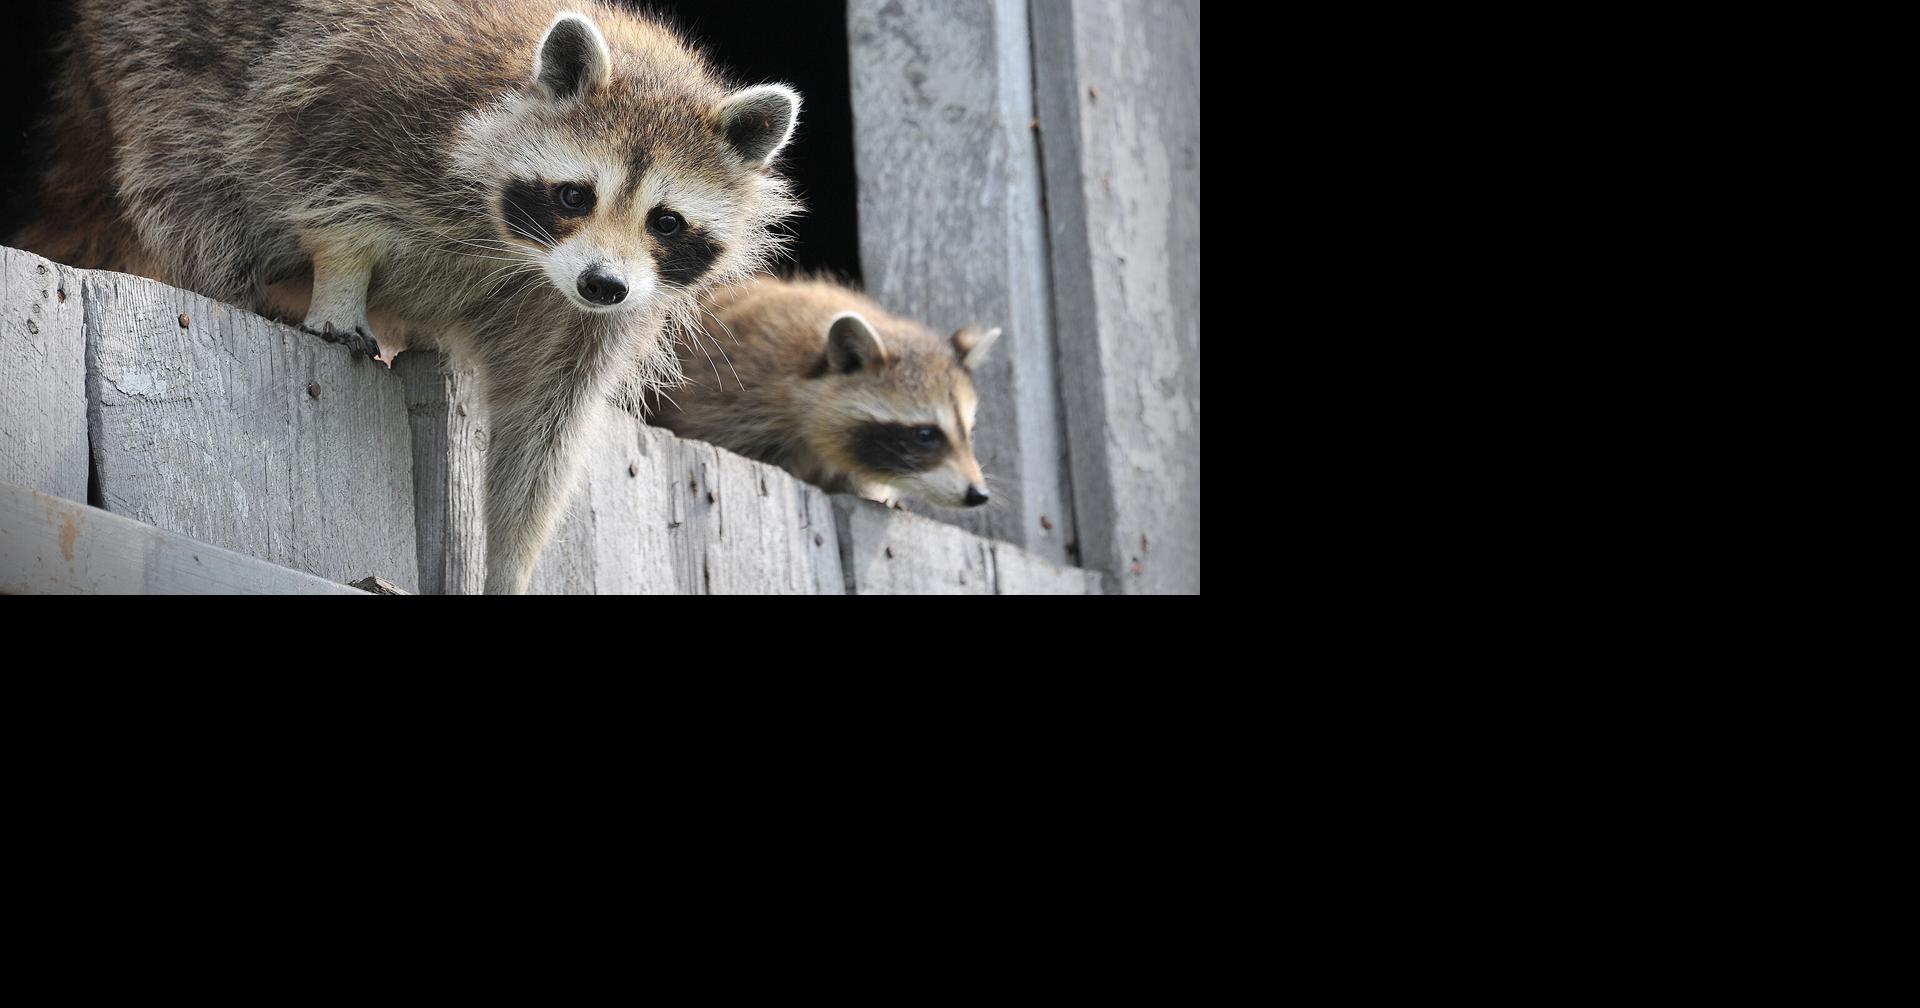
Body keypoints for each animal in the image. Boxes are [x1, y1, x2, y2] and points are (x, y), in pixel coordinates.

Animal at [11, 0, 801, 593]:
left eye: (665, 221)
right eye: (575, 195)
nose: (602, 284)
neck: (521, 251)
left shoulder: (587, 314)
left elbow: (543, 430)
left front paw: (508, 560)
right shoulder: (377, 101)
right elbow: (325, 189)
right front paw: (340, 281)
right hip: (154, 60)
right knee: (189, 176)